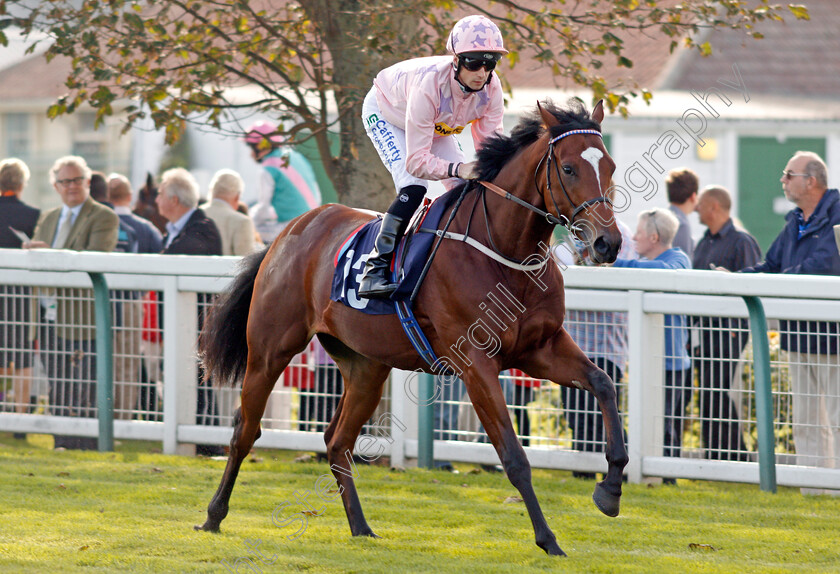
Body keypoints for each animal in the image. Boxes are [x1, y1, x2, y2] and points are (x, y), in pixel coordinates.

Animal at [197, 99, 628, 560]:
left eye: (610, 165)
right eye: (568, 168)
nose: (608, 243)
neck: (504, 253)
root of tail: (288, 232)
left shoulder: (541, 348)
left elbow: (603, 384)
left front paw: (610, 489)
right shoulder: (475, 364)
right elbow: (513, 457)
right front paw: (548, 539)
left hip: (366, 367)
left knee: (337, 441)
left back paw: (361, 526)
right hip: (270, 350)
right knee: (245, 431)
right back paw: (214, 515)